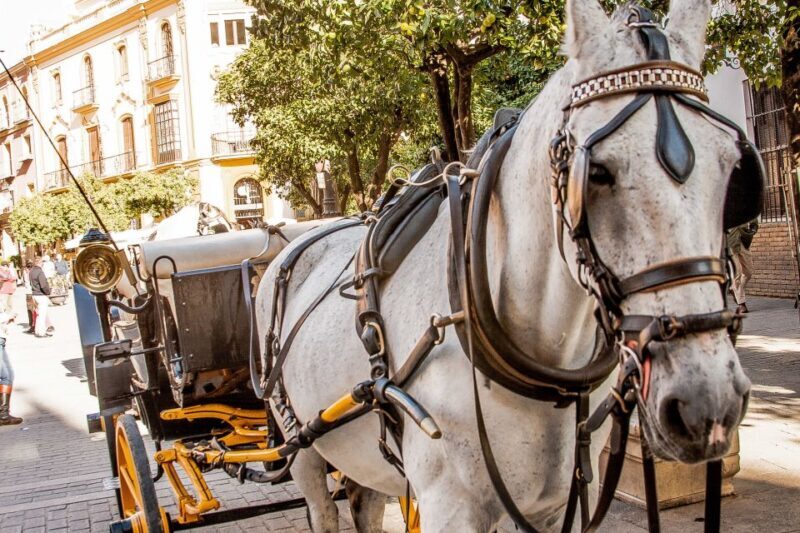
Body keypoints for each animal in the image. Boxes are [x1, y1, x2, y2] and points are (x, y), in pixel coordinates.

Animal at [254, 0, 754, 530]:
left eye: (733, 170)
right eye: (596, 172)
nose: (707, 403)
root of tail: (292, 243)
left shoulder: (555, 506)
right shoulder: (447, 506)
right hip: (299, 441)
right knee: (320, 502)